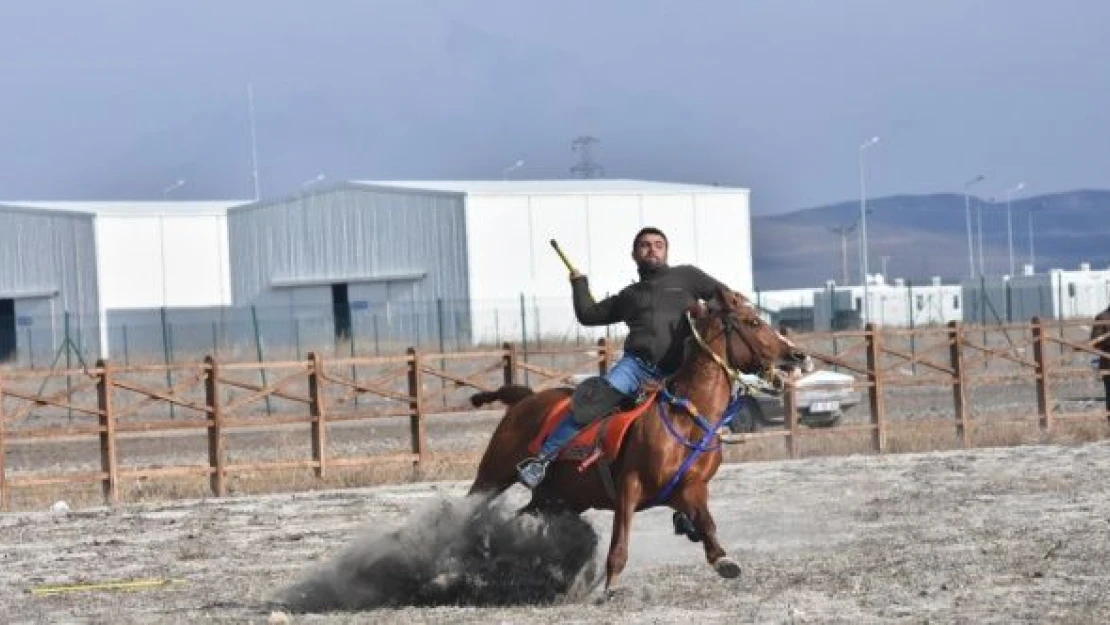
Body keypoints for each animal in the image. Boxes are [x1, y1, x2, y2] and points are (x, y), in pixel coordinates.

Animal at [463, 286, 812, 595]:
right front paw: (611, 586)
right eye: (752, 322)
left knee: (517, 518)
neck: (686, 417)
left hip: (557, 499)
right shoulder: (628, 489)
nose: (799, 355)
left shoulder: (691, 489)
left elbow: (707, 524)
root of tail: (523, 398)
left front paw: (722, 559)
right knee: (474, 507)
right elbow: (620, 541)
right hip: (494, 475)